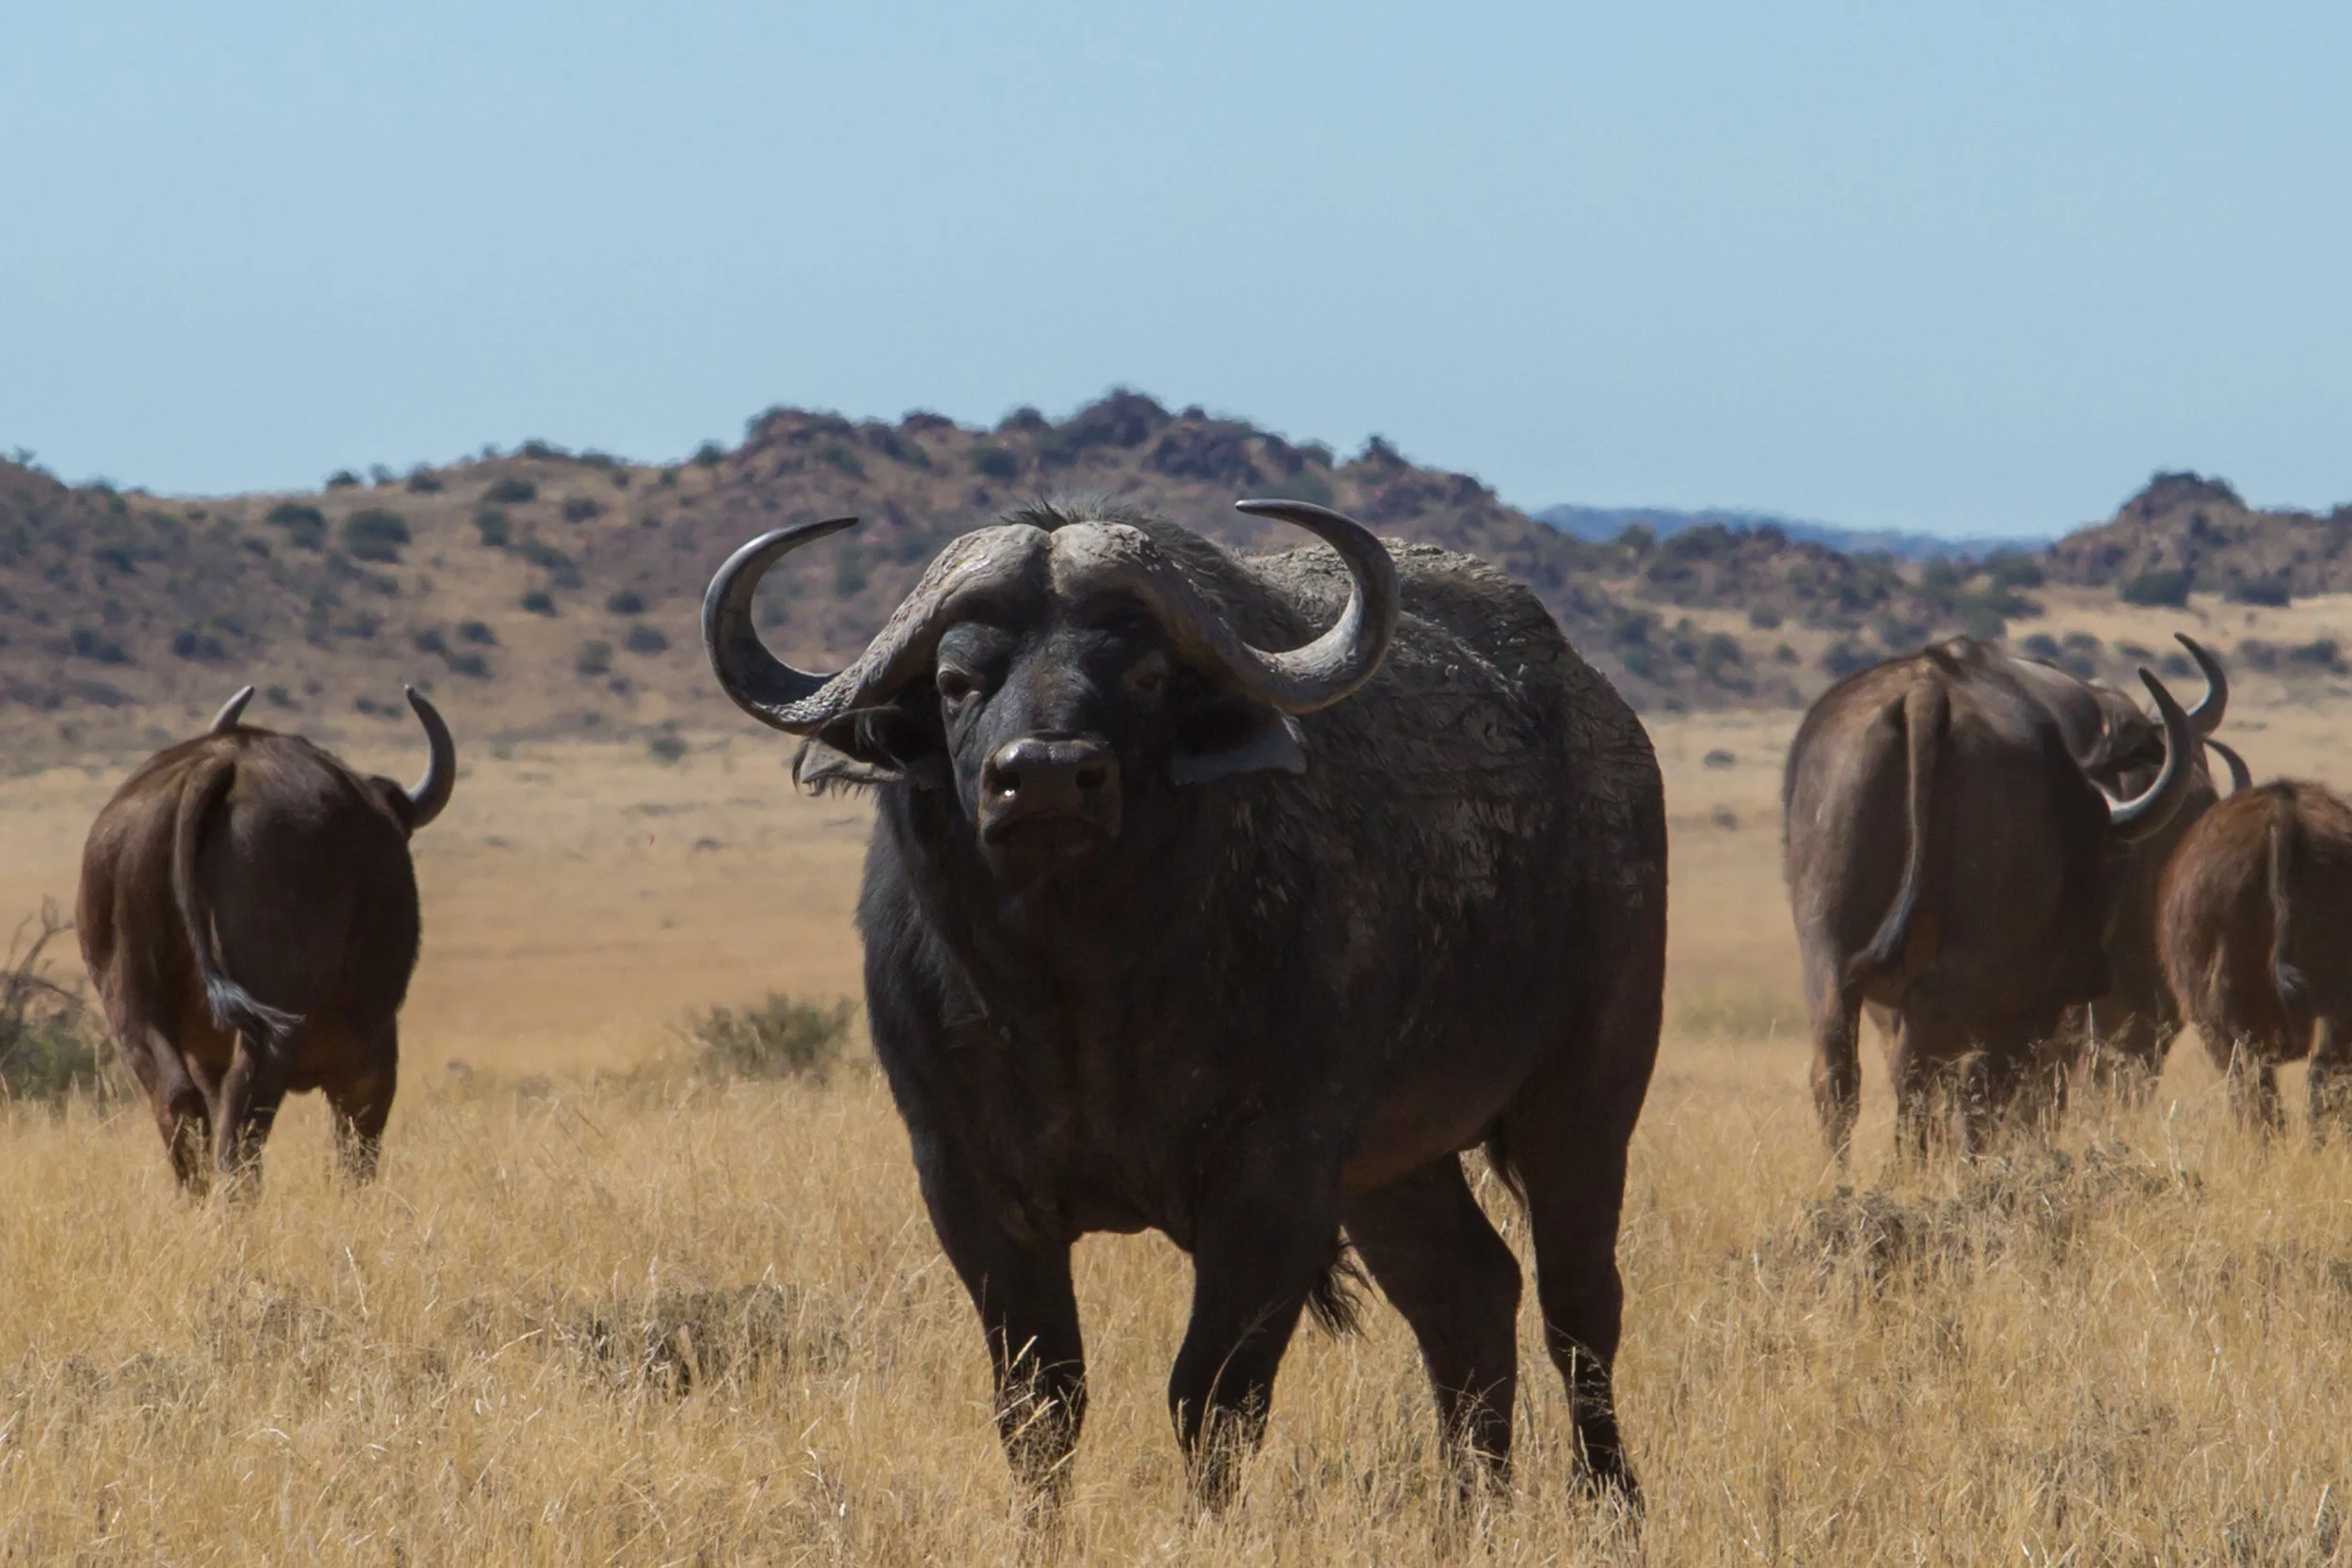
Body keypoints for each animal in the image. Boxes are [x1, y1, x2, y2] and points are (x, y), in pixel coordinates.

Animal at [78, 685, 454, 1190]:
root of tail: (218, 766)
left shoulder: (206, 1054)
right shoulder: (371, 1058)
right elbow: (357, 1148)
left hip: (134, 1005)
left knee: (178, 1099)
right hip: (273, 1029)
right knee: (245, 1107)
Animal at [704, 500, 1665, 1507]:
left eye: (1147, 672)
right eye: (957, 679)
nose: (1046, 774)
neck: (1075, 1000)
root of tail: (1603, 724)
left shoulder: (1274, 1190)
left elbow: (1212, 1402)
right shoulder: (970, 1189)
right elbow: (1041, 1406)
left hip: (1586, 1097)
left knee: (1579, 1306)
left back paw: (1609, 1501)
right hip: (1396, 1166)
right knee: (1468, 1293)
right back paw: (1469, 1510)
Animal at [1784, 637, 2197, 1156]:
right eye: (2112, 865)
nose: (2096, 975)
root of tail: (1926, 694)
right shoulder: (2030, 1008)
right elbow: (1990, 1095)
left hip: (1826, 950)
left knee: (1839, 1075)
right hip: (1980, 983)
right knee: (1933, 1075)